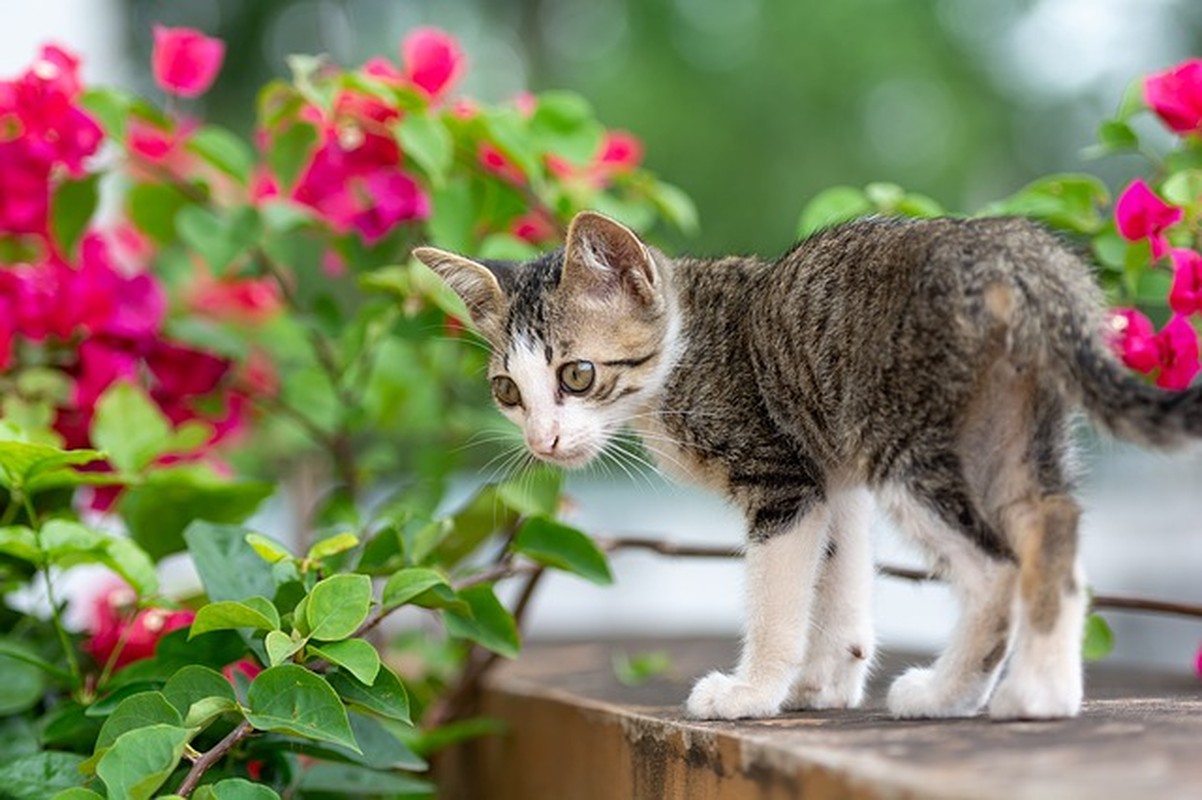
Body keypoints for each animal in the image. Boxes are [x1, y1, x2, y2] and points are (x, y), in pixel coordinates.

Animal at [415, 209, 1202, 720]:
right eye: (508, 392)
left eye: (577, 375)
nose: (543, 440)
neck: (685, 349)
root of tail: (1009, 245)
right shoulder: (831, 470)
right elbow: (842, 575)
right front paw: (824, 683)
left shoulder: (782, 480)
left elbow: (778, 598)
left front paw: (752, 693)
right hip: (1008, 428)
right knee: (1051, 525)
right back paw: (1041, 694)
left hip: (905, 440)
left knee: (998, 569)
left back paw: (948, 694)